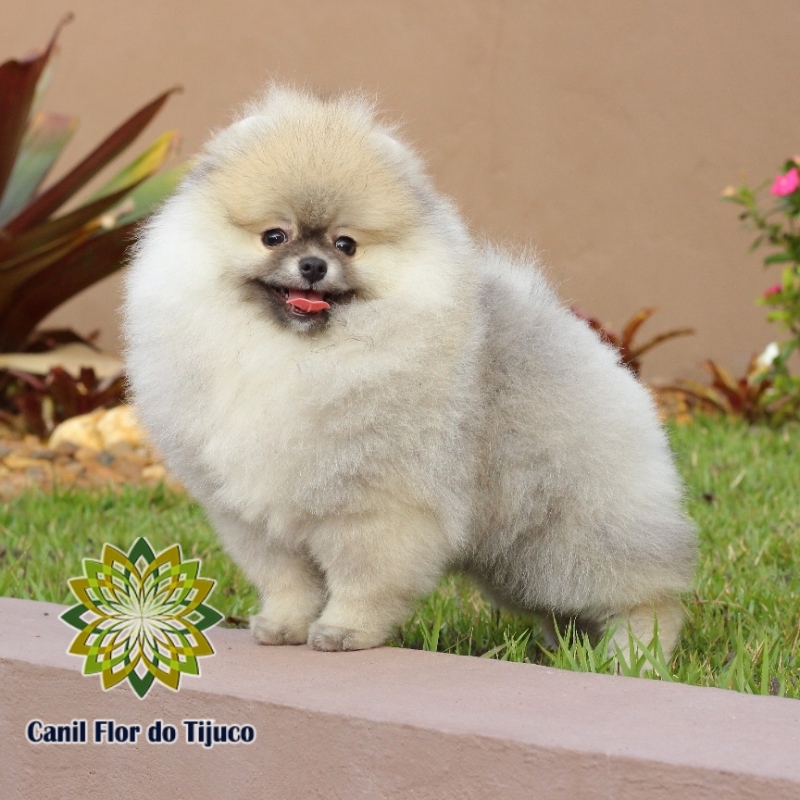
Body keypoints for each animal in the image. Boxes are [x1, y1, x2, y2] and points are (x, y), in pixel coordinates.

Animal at [123, 84, 692, 660]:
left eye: (346, 244)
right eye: (274, 236)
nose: (313, 266)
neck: (291, 354)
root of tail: (592, 347)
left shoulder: (374, 509)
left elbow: (363, 581)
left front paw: (344, 632)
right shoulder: (257, 520)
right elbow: (289, 583)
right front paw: (283, 627)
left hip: (570, 528)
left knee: (646, 593)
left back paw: (636, 655)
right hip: (521, 558)